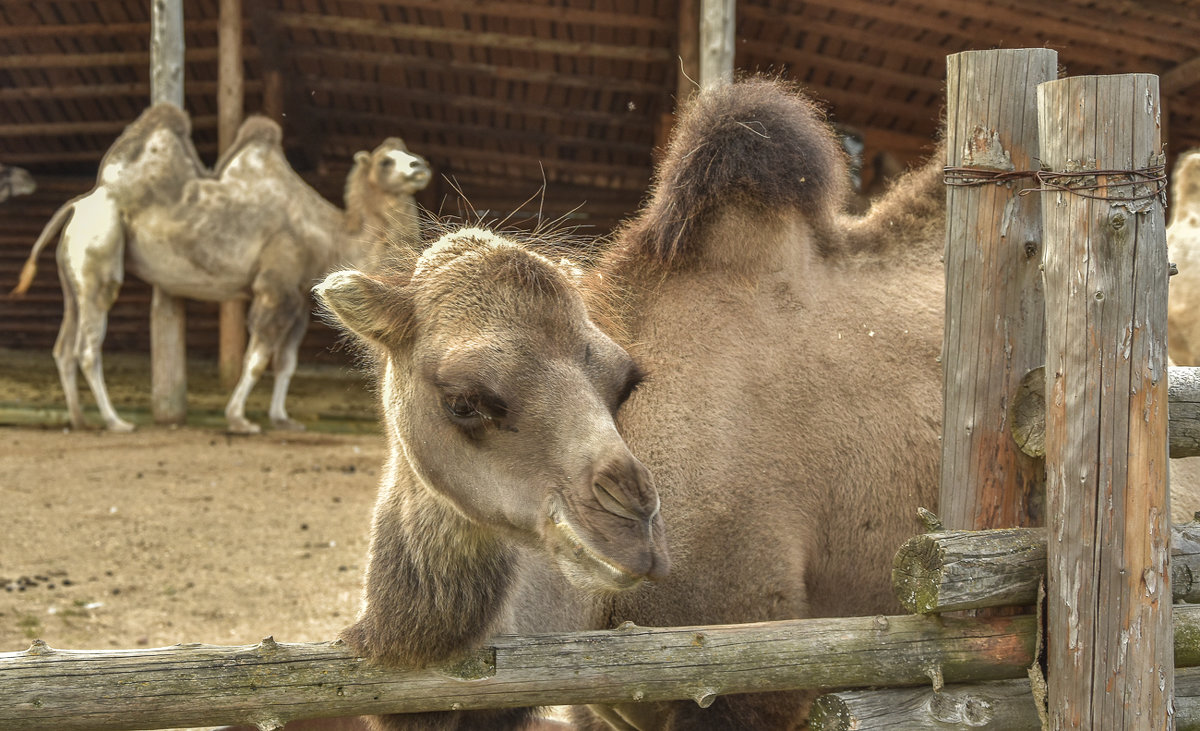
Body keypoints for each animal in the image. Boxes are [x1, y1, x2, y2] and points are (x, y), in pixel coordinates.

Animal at [9, 103, 432, 432]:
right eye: (386, 161)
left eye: (407, 152)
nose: (420, 166)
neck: (328, 235)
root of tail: (78, 203)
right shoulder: (276, 286)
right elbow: (257, 357)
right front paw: (239, 419)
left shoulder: (298, 295)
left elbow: (287, 361)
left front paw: (282, 419)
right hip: (99, 249)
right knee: (87, 345)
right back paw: (116, 421)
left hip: (73, 271)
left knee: (64, 345)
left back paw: (80, 419)